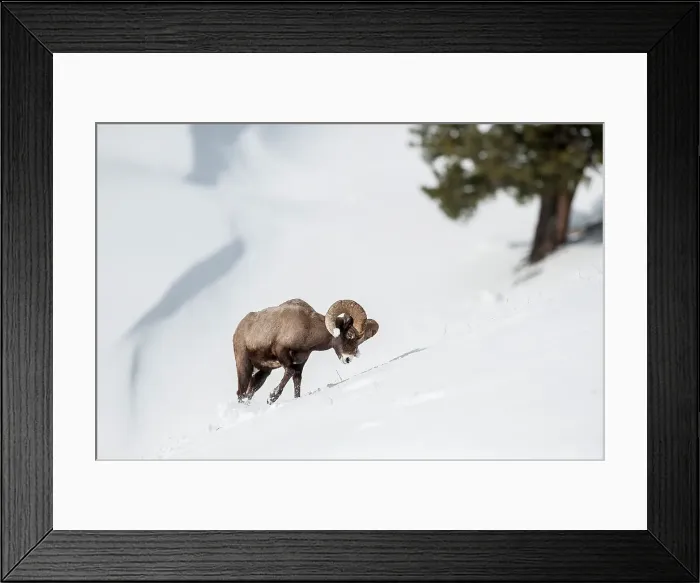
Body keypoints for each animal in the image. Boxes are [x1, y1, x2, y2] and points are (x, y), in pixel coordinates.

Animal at [232, 298, 379, 405]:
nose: (348, 359)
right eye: (349, 334)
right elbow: (289, 372)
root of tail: (238, 329)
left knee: (249, 392)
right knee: (241, 393)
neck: (308, 328)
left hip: (264, 372)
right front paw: (271, 398)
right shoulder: (282, 352)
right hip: (244, 366)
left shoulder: (300, 363)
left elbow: (297, 381)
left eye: (359, 340)